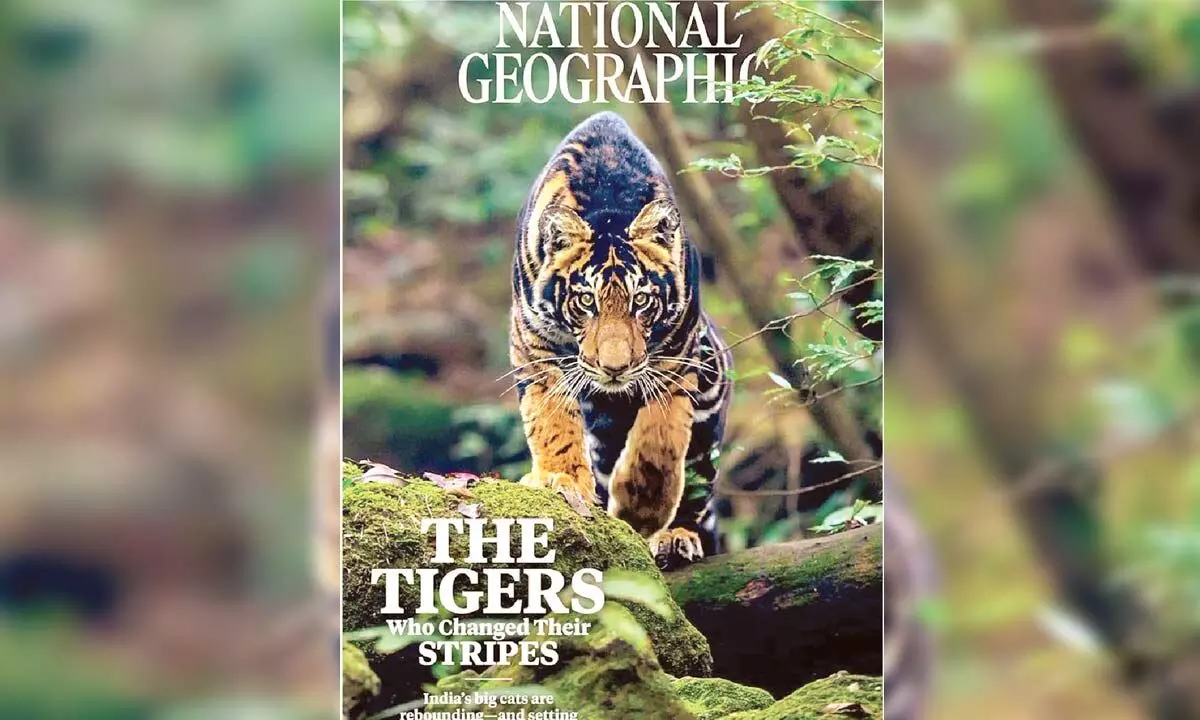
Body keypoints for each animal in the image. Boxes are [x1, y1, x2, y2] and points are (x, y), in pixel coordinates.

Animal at [509, 111, 731, 568]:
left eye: (640, 301)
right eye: (587, 301)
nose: (615, 368)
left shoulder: (677, 357)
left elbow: (661, 439)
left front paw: (642, 510)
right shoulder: (534, 345)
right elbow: (551, 421)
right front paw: (561, 480)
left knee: (697, 482)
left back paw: (677, 536)